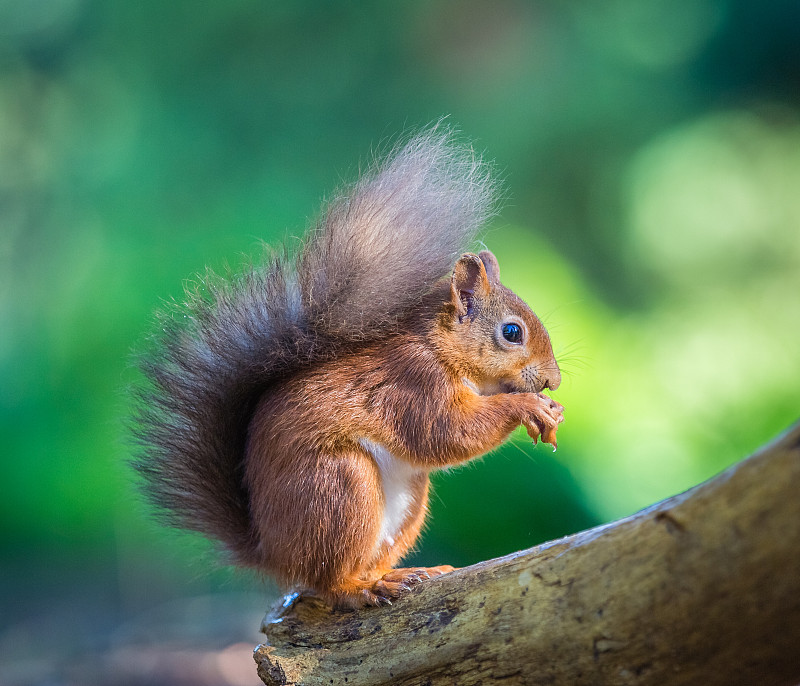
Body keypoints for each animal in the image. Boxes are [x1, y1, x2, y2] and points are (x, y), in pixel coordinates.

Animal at [134, 129, 564, 608]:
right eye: (512, 332)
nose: (554, 380)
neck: (440, 349)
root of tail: (272, 552)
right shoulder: (412, 383)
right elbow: (445, 432)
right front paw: (528, 406)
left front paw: (550, 409)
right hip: (339, 488)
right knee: (328, 581)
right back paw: (363, 588)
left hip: (408, 502)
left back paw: (402, 573)